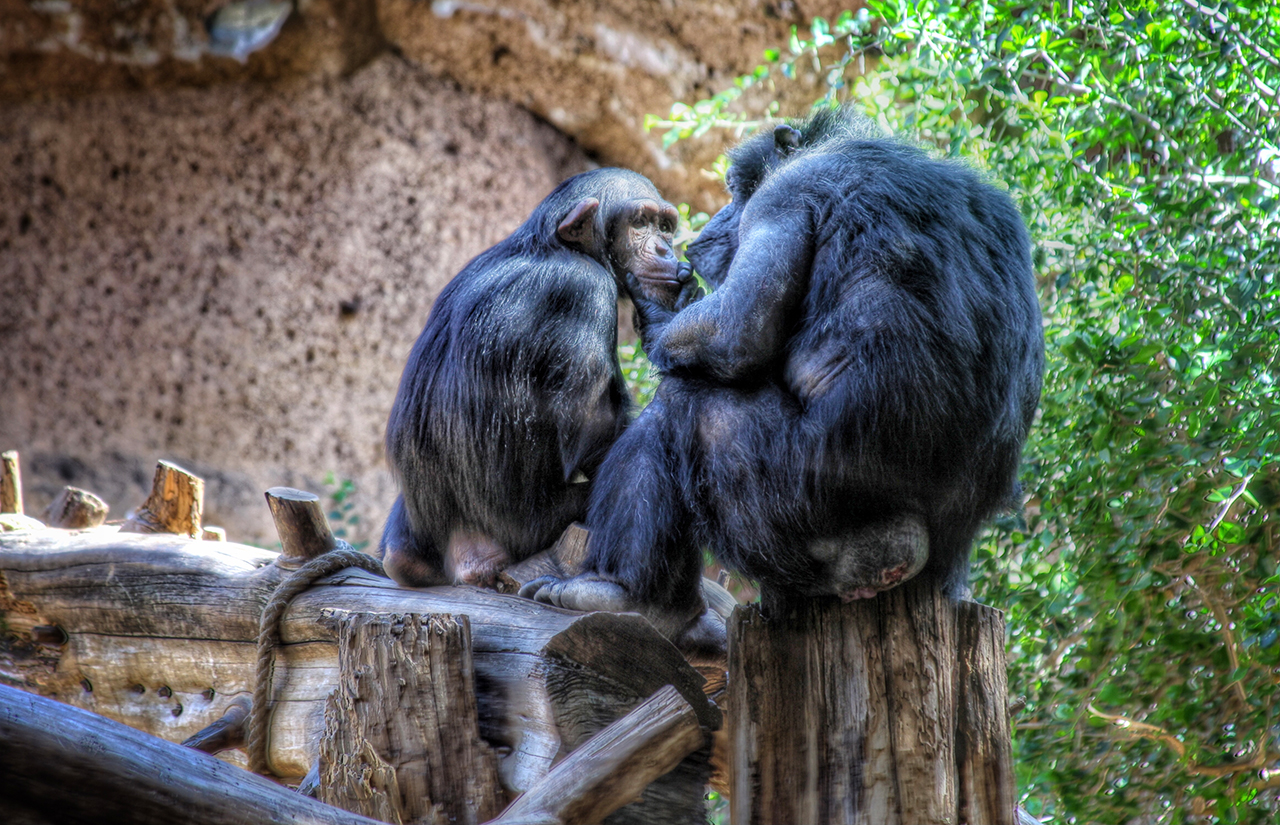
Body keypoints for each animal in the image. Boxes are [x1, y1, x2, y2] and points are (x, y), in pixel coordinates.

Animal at [381, 167, 696, 588]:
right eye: (640, 222)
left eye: (664, 226)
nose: (665, 249)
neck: (554, 247)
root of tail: (466, 554)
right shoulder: (585, 290)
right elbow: (592, 428)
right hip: (535, 529)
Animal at [524, 106, 1044, 647]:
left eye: (735, 189)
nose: (714, 221)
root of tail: (898, 557)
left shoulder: (783, 197)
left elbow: (735, 330)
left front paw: (659, 308)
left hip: (789, 504)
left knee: (683, 406)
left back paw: (627, 595)